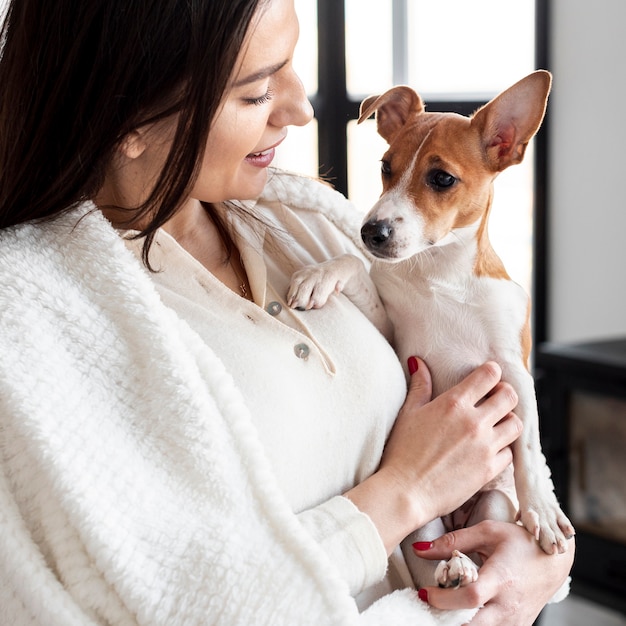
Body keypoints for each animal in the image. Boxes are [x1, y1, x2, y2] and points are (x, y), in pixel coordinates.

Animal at [286, 70, 572, 588]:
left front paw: (542, 508)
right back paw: (451, 567)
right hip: (421, 524)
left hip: (492, 504)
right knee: (427, 561)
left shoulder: (515, 371)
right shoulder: (391, 329)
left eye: (441, 178)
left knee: (479, 532)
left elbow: (528, 445)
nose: (372, 232)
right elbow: (354, 267)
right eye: (385, 167)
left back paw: (467, 562)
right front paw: (320, 274)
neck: (440, 275)